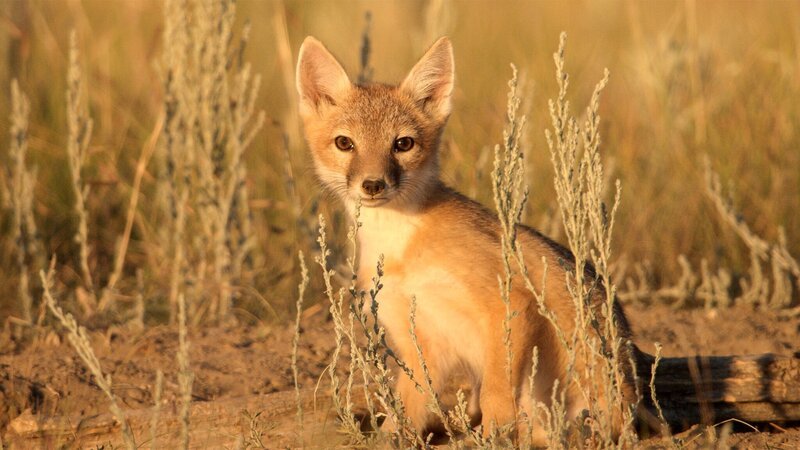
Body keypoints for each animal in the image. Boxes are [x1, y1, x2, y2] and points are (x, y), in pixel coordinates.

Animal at [295, 36, 638, 442]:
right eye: (344, 143)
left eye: (403, 144)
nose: (374, 184)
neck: (400, 244)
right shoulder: (421, 342)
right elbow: (404, 410)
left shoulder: (511, 303)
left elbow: (496, 393)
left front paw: (494, 435)